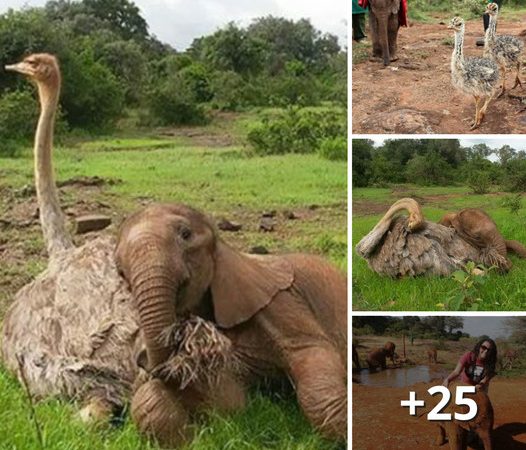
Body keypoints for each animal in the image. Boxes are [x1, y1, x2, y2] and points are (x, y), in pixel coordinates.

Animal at [115, 204, 348, 446]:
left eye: (185, 234)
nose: (142, 359)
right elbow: (231, 402)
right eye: (120, 270)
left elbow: (311, 352)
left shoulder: (280, 302)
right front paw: (196, 439)